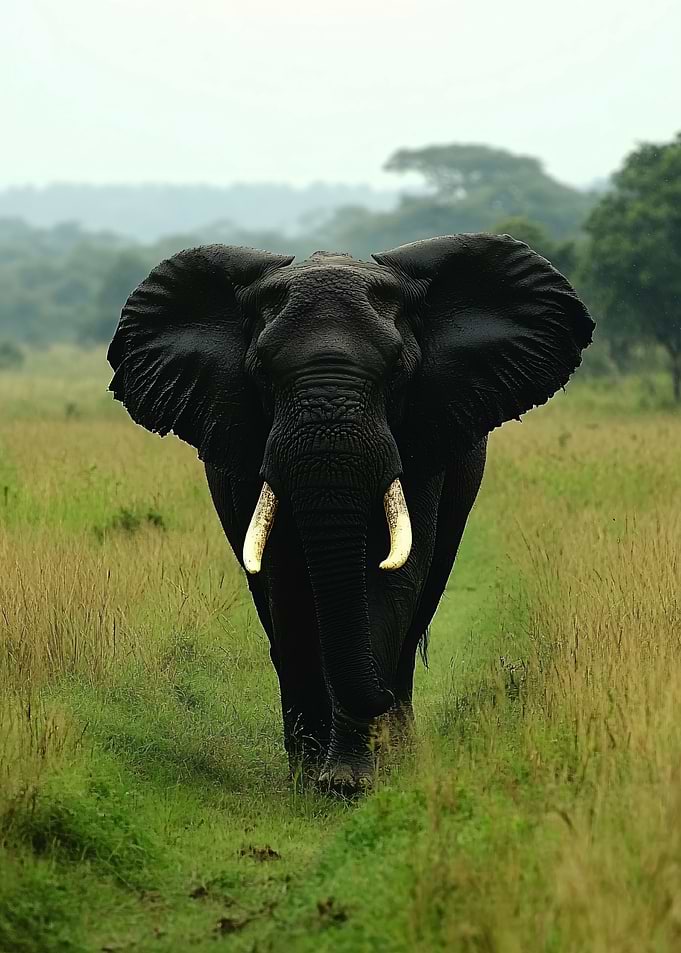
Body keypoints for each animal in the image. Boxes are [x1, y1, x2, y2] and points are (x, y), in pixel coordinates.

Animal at [107, 234, 594, 791]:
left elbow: (391, 580)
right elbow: (289, 585)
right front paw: (317, 781)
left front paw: (352, 781)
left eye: (398, 368)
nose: (378, 701)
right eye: (262, 371)